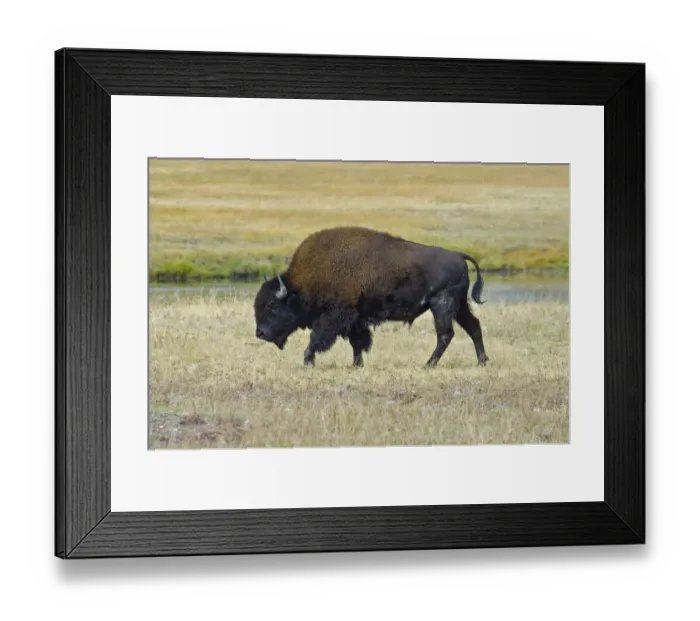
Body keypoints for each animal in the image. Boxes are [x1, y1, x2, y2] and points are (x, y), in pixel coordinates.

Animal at [254, 226, 489, 368]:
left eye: (273, 306)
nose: (260, 333)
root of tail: (457, 255)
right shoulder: (356, 320)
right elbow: (358, 342)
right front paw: (356, 365)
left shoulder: (335, 316)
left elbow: (318, 338)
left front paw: (308, 360)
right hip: (459, 306)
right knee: (473, 326)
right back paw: (482, 361)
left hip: (442, 305)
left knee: (445, 334)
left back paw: (428, 364)